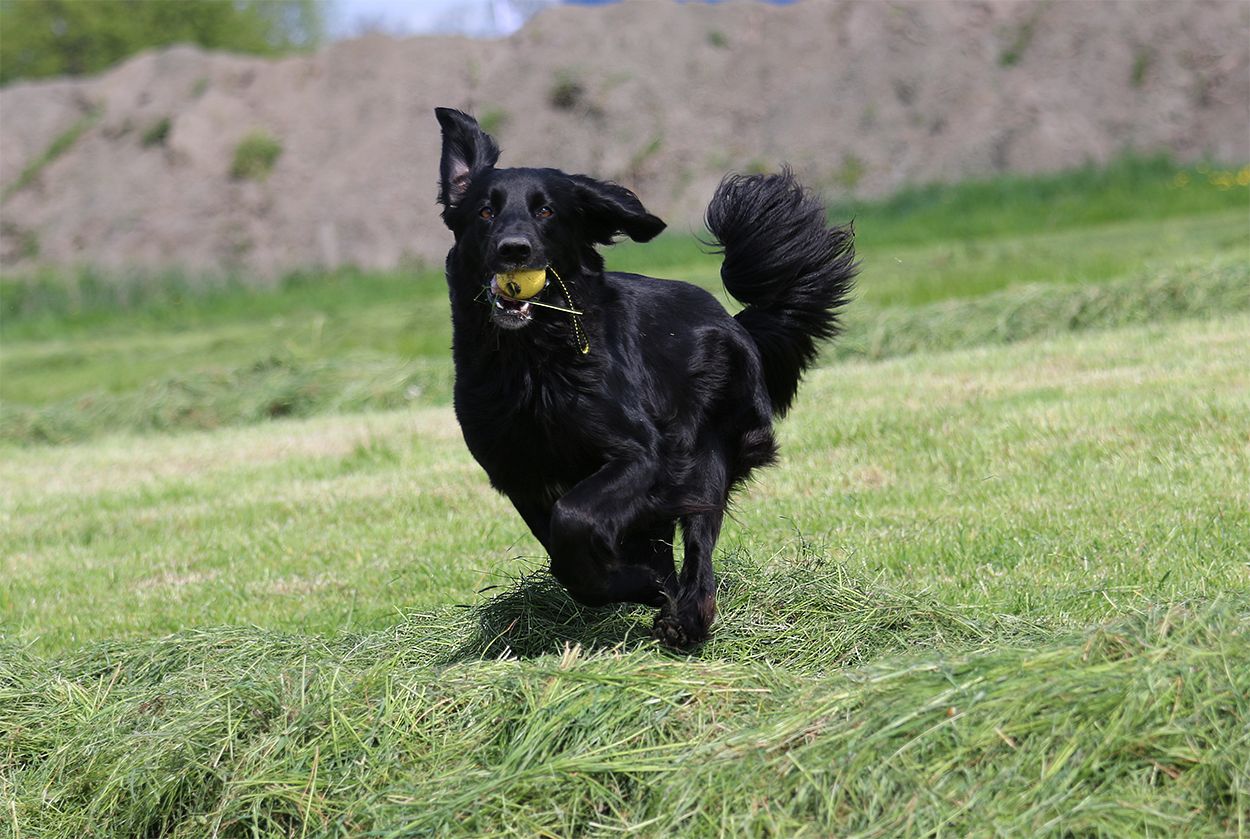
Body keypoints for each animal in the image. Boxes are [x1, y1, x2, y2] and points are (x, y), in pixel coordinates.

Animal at [435, 107, 855, 646]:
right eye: (485, 213)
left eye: (546, 212)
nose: (514, 250)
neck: (534, 361)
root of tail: (734, 322)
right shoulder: (519, 474)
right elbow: (566, 556)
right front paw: (638, 584)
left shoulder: (643, 455)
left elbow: (574, 520)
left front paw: (645, 587)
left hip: (705, 451)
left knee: (698, 538)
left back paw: (689, 615)